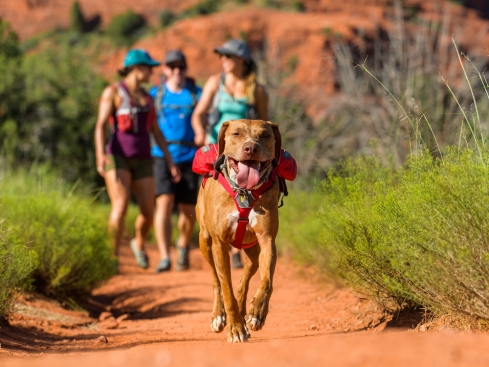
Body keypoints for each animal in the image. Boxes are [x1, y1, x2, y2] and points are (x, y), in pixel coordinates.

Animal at [193, 119, 278, 344]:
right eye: (236, 133)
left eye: (265, 135)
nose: (251, 148)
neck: (244, 192)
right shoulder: (219, 244)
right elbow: (225, 288)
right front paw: (235, 328)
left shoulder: (267, 240)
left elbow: (267, 281)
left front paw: (257, 314)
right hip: (205, 241)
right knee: (216, 281)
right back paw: (219, 316)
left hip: (253, 251)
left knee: (244, 281)